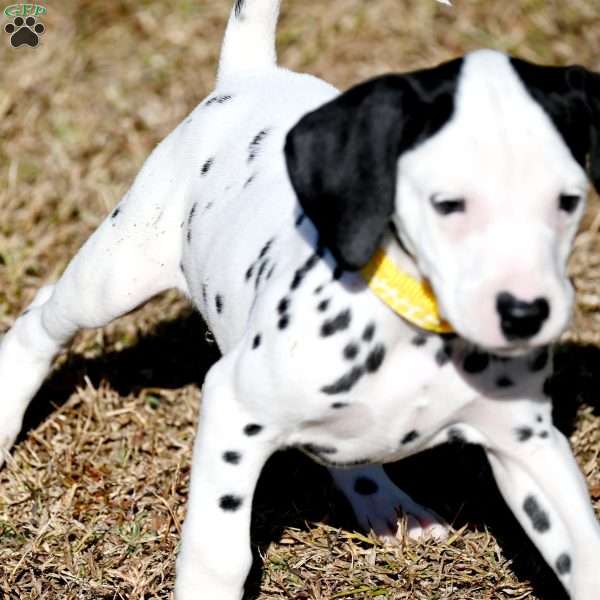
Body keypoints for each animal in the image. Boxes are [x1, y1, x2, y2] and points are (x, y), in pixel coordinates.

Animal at [1, 1, 600, 600]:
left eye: (568, 201)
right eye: (448, 203)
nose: (526, 313)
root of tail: (249, 75)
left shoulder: (528, 446)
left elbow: (583, 551)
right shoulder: (233, 412)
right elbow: (220, 553)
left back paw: (386, 503)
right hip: (116, 276)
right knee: (42, 317)